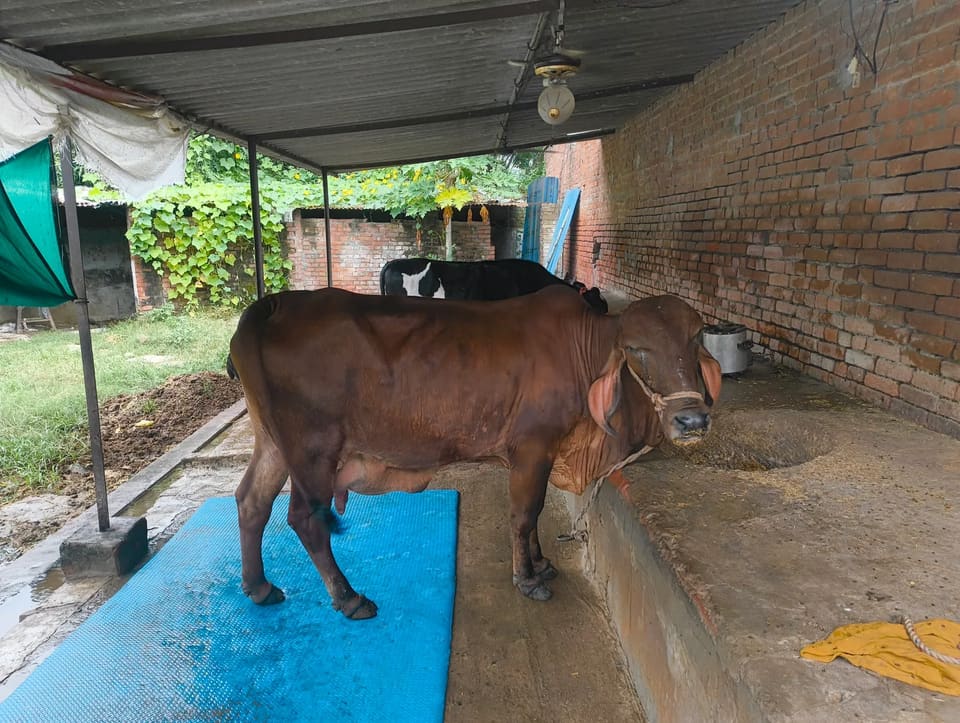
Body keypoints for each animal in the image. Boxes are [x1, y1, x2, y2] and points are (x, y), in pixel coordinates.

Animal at [228, 286, 721, 619]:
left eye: (697, 339)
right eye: (636, 350)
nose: (692, 420)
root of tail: (274, 304)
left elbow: (533, 516)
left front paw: (541, 563)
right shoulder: (531, 448)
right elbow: (524, 514)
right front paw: (527, 577)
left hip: (273, 443)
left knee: (252, 500)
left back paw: (259, 587)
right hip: (313, 449)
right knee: (304, 518)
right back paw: (349, 598)